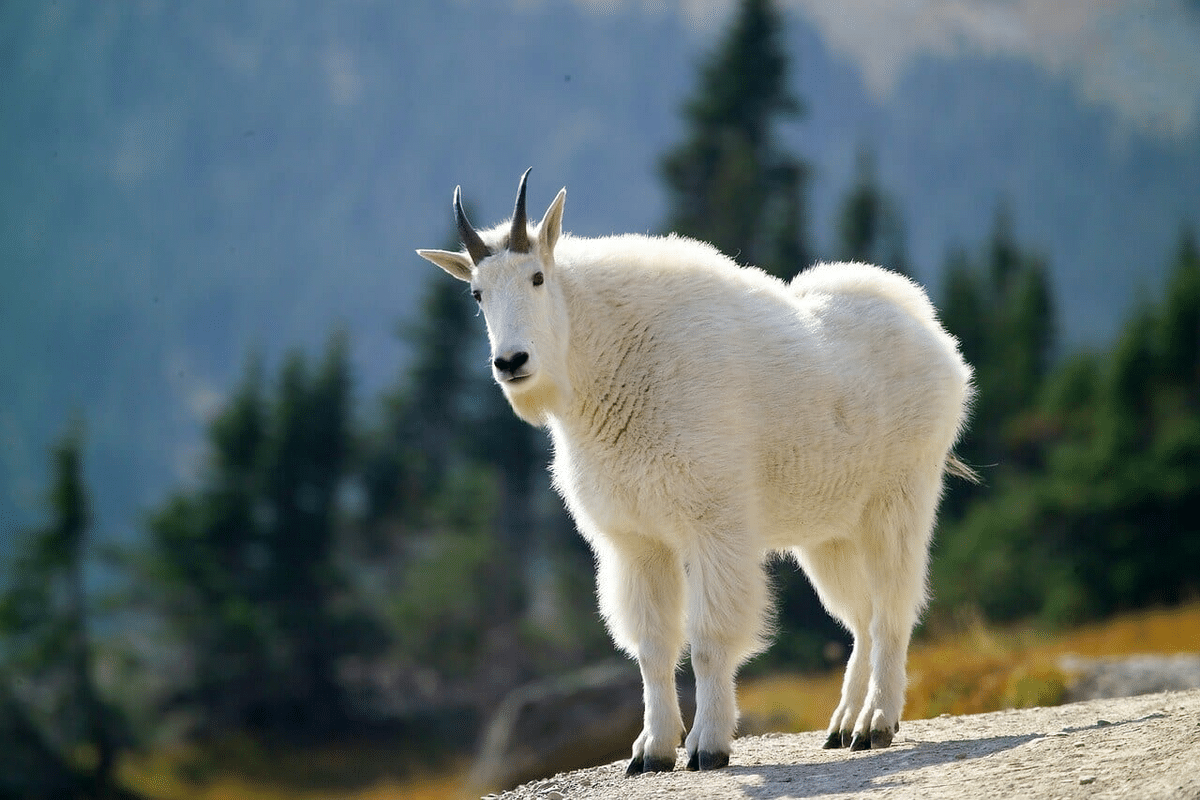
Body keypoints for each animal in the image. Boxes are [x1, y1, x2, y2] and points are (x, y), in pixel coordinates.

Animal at [417, 170, 969, 777]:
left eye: (537, 277)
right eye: (477, 294)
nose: (511, 362)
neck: (607, 362)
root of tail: (935, 335)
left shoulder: (714, 525)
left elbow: (707, 640)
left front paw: (709, 746)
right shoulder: (636, 541)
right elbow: (653, 647)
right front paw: (651, 750)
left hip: (898, 501)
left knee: (892, 610)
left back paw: (876, 724)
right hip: (830, 533)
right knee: (861, 617)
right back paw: (843, 725)